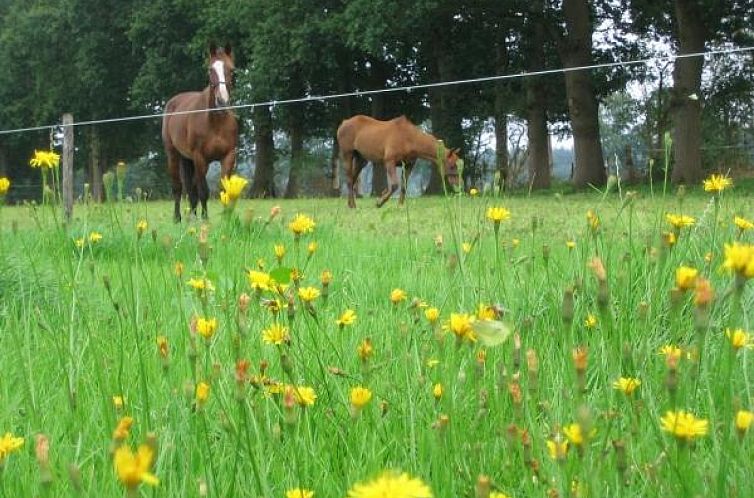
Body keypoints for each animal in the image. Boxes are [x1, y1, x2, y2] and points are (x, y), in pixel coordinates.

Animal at [160, 41, 236, 221]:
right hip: (173, 155)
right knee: (179, 187)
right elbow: (203, 191)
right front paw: (206, 219)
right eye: (210, 70)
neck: (216, 122)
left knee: (190, 188)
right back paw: (178, 218)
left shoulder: (228, 157)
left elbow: (224, 190)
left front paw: (226, 218)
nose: (222, 101)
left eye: (231, 70)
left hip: (187, 160)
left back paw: (191, 217)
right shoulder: (200, 158)